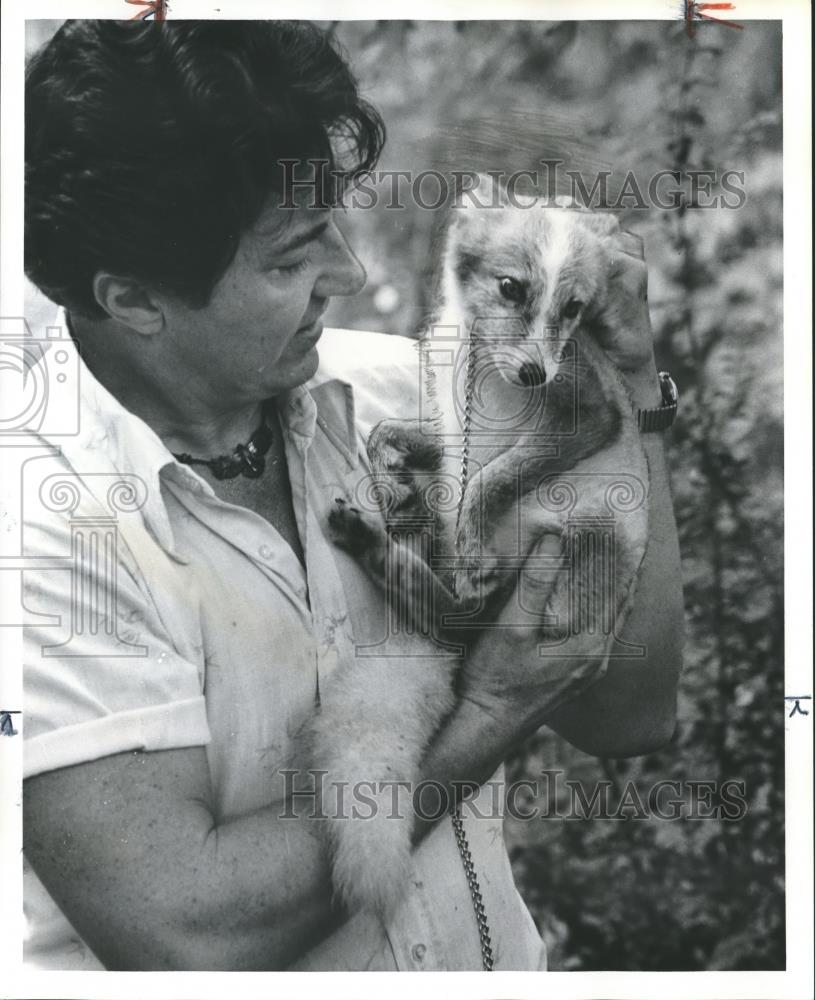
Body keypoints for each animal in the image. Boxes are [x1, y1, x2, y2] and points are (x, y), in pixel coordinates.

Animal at [302, 176, 652, 916]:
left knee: (460, 626)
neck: (481, 368)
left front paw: (471, 540)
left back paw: (396, 550)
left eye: (575, 309)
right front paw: (394, 478)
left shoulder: (588, 412)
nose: (534, 373)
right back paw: (393, 528)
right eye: (511, 289)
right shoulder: (448, 427)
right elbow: (400, 438)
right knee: (449, 623)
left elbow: (490, 481)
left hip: (584, 540)